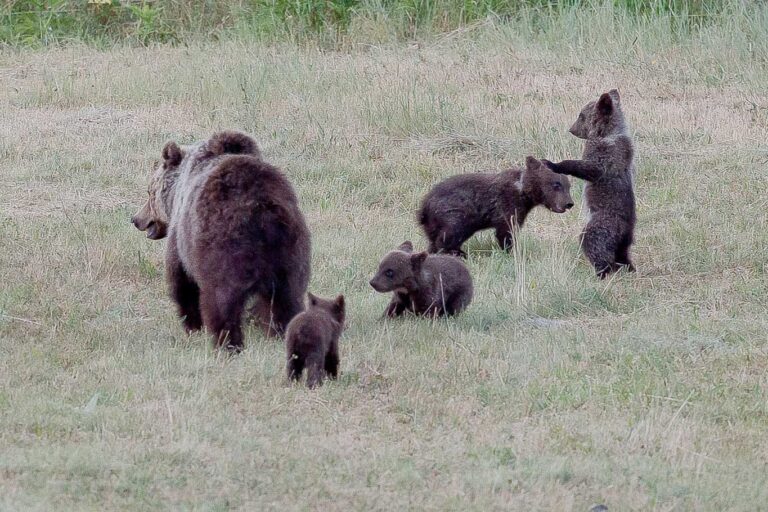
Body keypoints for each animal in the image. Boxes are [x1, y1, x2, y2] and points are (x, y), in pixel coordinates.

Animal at [131, 130, 308, 350]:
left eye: (149, 192)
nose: (136, 219)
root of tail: (262, 212)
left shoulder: (181, 234)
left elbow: (181, 279)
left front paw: (192, 325)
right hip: (290, 252)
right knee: (287, 299)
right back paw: (283, 334)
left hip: (222, 248)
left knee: (221, 300)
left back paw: (226, 341)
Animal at [416, 155, 572, 256]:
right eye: (556, 185)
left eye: (568, 186)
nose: (569, 203)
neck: (523, 191)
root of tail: (424, 206)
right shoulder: (507, 205)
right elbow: (505, 231)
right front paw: (510, 252)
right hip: (454, 212)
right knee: (449, 235)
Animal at [544, 90, 640, 278]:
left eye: (581, 115)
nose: (571, 130)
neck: (605, 132)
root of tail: (625, 230)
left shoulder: (603, 156)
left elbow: (589, 168)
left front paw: (551, 163)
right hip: (624, 240)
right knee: (623, 254)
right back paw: (628, 267)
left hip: (603, 225)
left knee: (593, 243)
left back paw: (602, 271)